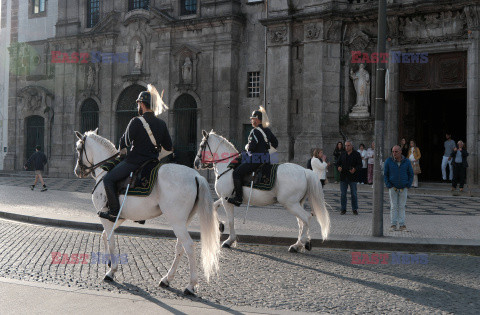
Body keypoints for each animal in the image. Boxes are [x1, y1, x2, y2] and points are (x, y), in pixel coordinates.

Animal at [74, 130, 220, 296]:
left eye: (78, 148)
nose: (77, 171)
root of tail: (196, 176)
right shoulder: (117, 217)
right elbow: (105, 235)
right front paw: (108, 260)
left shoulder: (107, 218)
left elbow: (110, 239)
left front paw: (111, 271)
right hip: (183, 221)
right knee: (180, 247)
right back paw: (166, 279)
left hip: (176, 221)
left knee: (188, 246)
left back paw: (190, 285)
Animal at [192, 130, 330, 252]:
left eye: (202, 145)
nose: (196, 163)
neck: (228, 166)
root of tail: (305, 171)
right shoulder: (225, 197)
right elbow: (214, 206)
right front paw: (220, 225)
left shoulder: (227, 200)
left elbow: (231, 220)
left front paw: (229, 240)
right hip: (297, 203)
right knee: (301, 222)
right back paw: (299, 244)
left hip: (290, 204)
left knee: (306, 218)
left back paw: (300, 244)